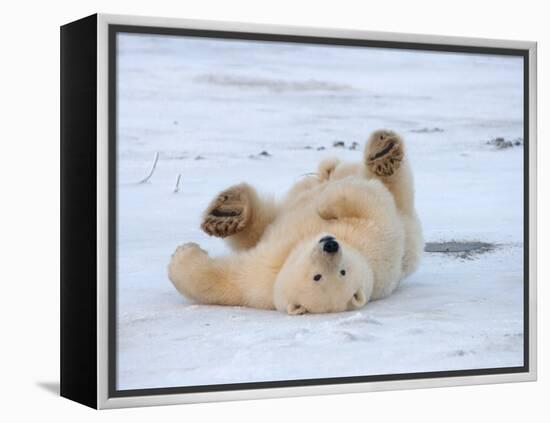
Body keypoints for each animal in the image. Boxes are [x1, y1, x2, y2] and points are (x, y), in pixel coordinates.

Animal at [170, 130, 424, 314]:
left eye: (341, 272)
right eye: (318, 276)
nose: (330, 244)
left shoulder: (377, 240)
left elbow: (370, 201)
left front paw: (181, 256)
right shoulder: (263, 277)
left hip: (407, 223)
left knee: (394, 187)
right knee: (265, 220)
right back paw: (227, 213)